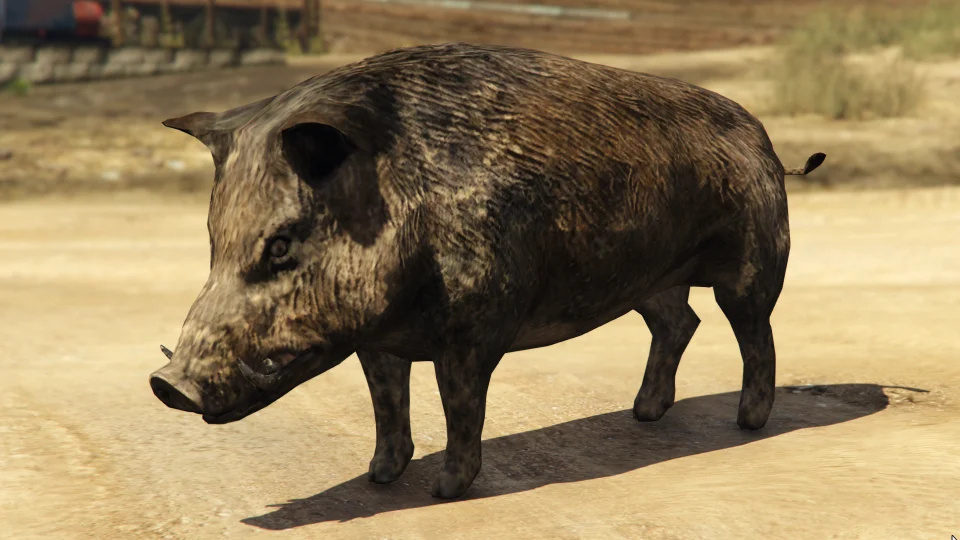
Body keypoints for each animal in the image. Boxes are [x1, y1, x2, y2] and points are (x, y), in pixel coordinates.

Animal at [149, 42, 825, 499]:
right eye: (213, 240)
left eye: (282, 245)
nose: (167, 385)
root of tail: (769, 144)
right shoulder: (376, 340)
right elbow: (386, 402)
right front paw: (378, 478)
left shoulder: (475, 328)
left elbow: (460, 405)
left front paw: (445, 491)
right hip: (649, 278)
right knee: (679, 323)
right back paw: (643, 415)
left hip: (757, 259)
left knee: (753, 331)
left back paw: (747, 423)